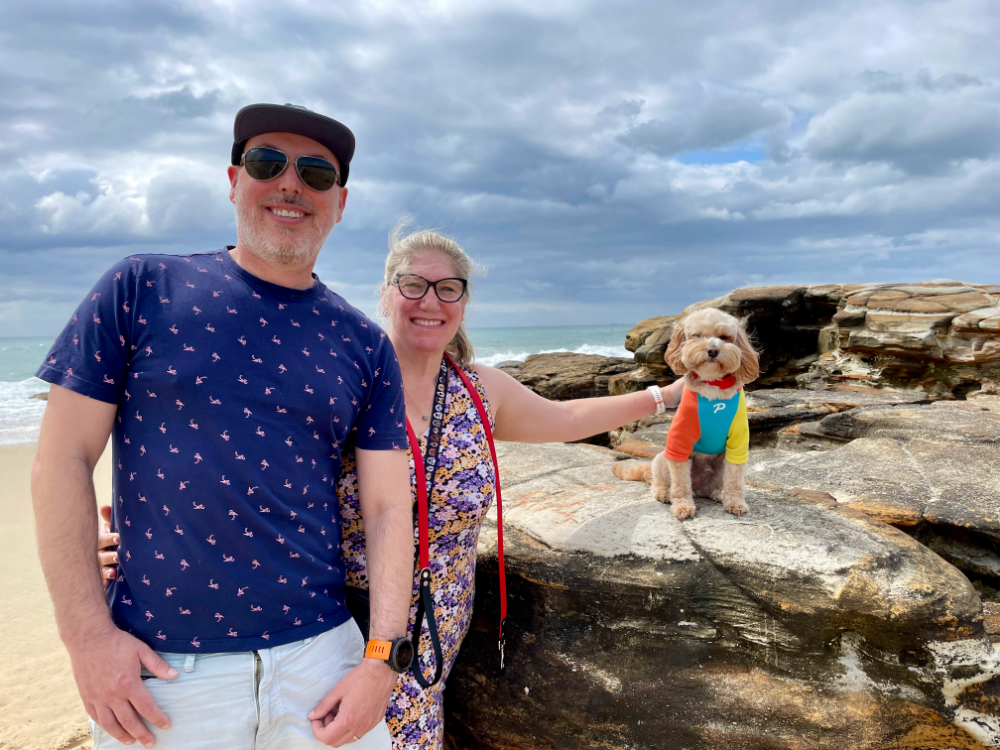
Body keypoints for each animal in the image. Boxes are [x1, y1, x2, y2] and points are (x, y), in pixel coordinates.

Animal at [612, 308, 760, 520]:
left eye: (725, 337)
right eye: (697, 336)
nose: (713, 350)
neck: (712, 386)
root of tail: (698, 487)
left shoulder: (737, 443)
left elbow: (734, 479)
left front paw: (735, 502)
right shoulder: (679, 443)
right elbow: (680, 483)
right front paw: (682, 506)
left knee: (714, 484)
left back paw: (718, 493)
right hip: (662, 459)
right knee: (659, 482)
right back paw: (664, 493)